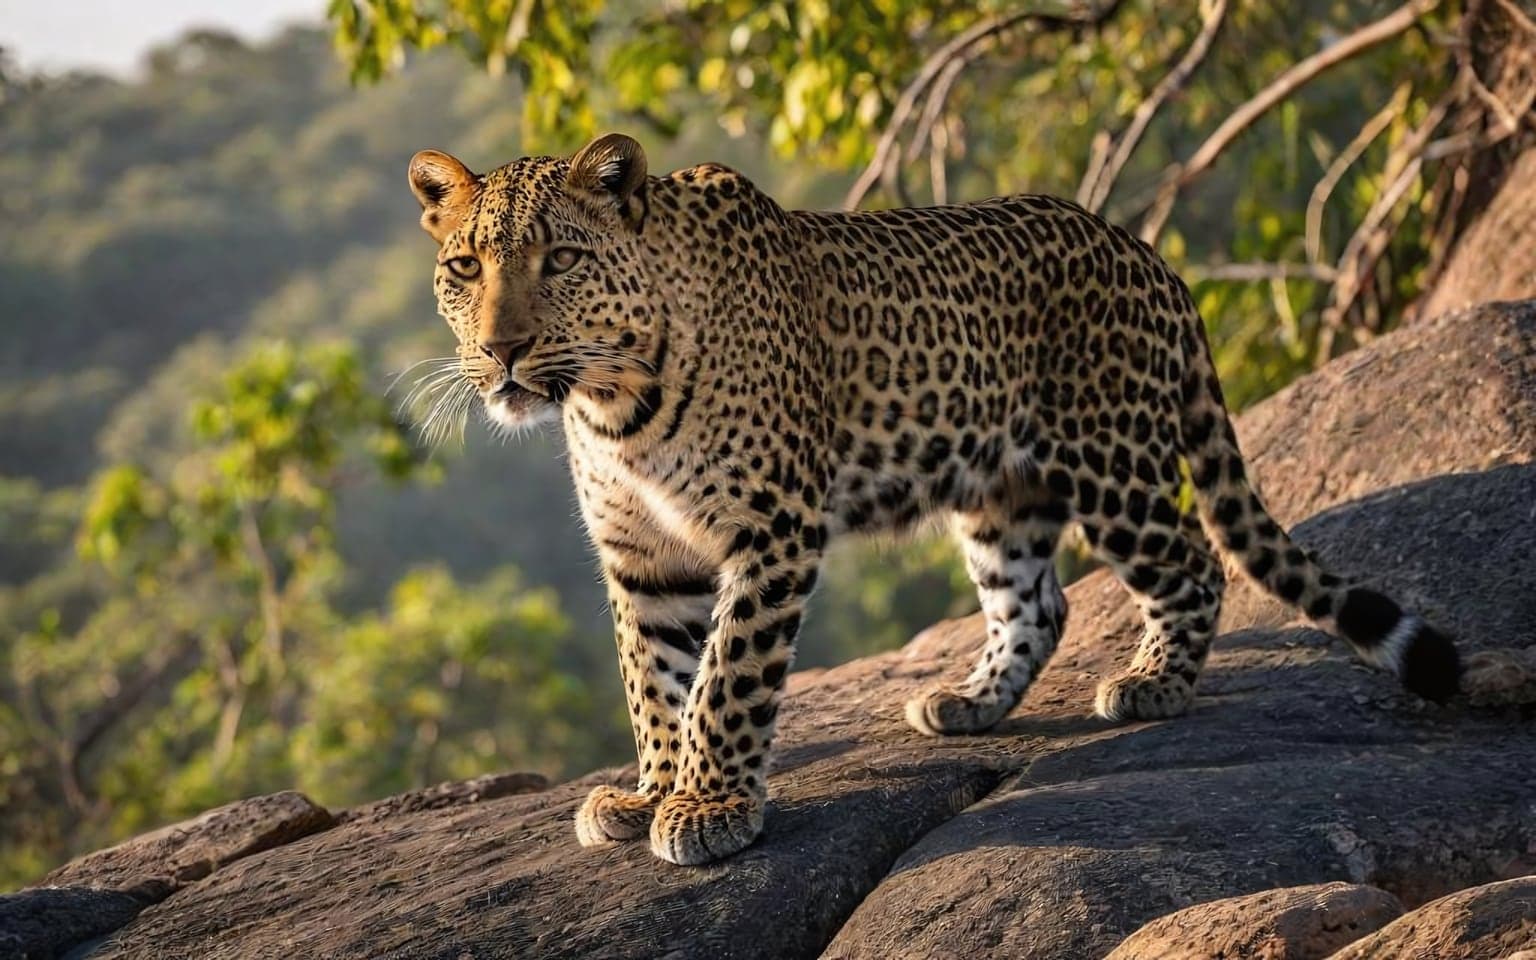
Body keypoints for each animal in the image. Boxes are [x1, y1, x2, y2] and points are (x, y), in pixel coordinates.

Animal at [406, 132, 1462, 866]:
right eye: (465, 269)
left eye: (561, 261)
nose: (501, 351)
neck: (610, 400)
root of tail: (1147, 250)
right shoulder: (644, 560)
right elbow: (654, 685)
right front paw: (647, 793)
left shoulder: (772, 530)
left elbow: (727, 681)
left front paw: (709, 808)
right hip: (1000, 488)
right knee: (1038, 600)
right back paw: (970, 704)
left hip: (1109, 459)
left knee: (1192, 562)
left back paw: (1154, 684)